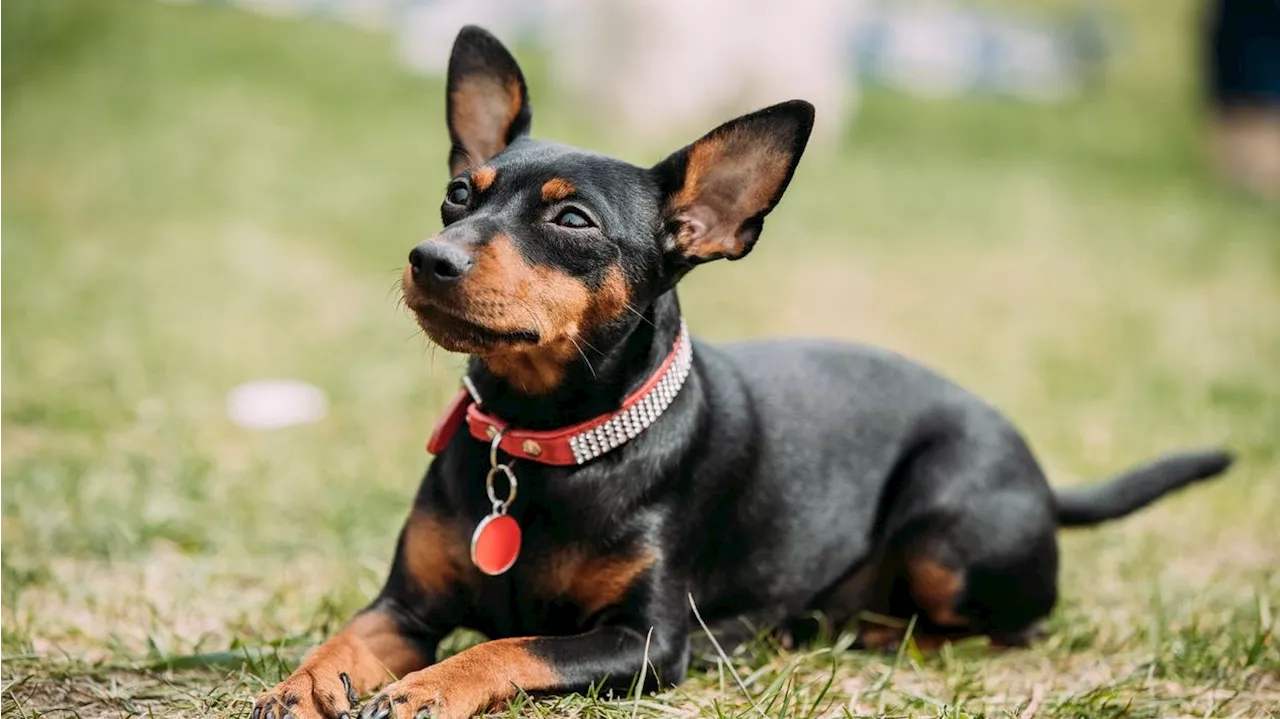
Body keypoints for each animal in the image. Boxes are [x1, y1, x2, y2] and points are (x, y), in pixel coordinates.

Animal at [247, 25, 1228, 716]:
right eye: (459, 194)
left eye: (573, 221)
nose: (429, 257)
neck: (545, 437)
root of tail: (1045, 479)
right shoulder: (404, 605)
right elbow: (344, 637)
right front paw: (303, 682)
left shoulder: (647, 642)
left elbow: (508, 645)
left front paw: (426, 687)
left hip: (952, 529)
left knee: (1006, 627)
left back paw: (864, 630)